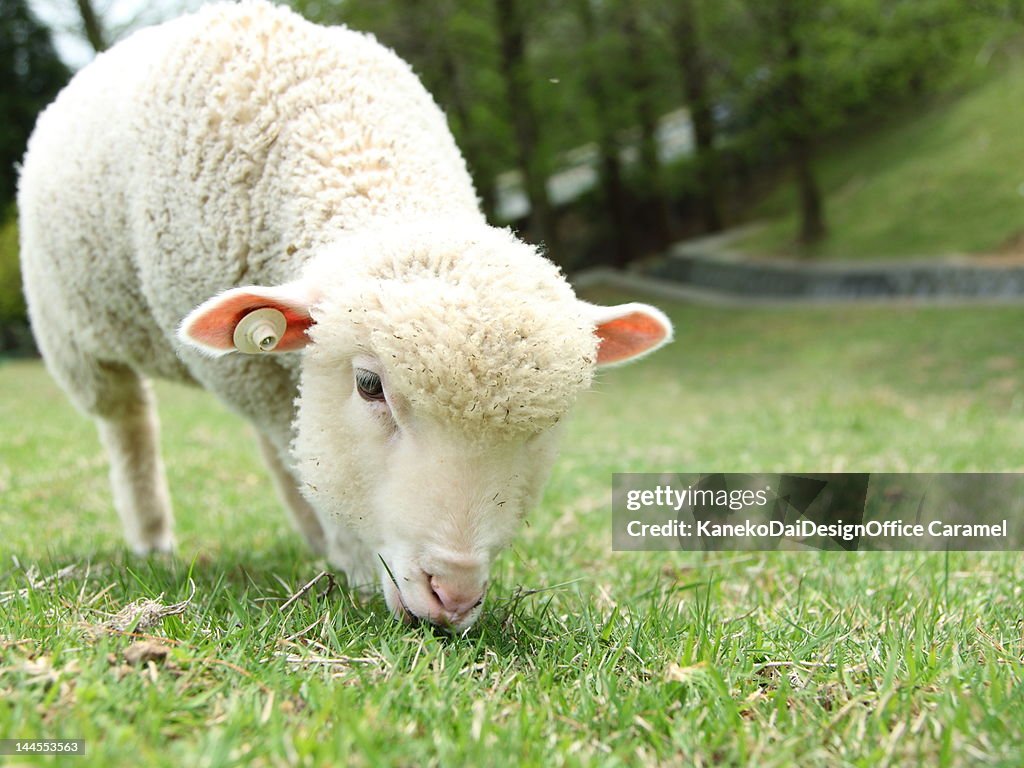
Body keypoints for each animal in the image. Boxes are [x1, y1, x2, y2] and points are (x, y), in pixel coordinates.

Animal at [18, 0, 671, 630]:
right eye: (368, 385)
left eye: (549, 425)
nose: (453, 595)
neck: (346, 144)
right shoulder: (252, 374)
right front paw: (353, 567)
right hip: (73, 337)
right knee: (130, 424)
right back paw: (153, 538)